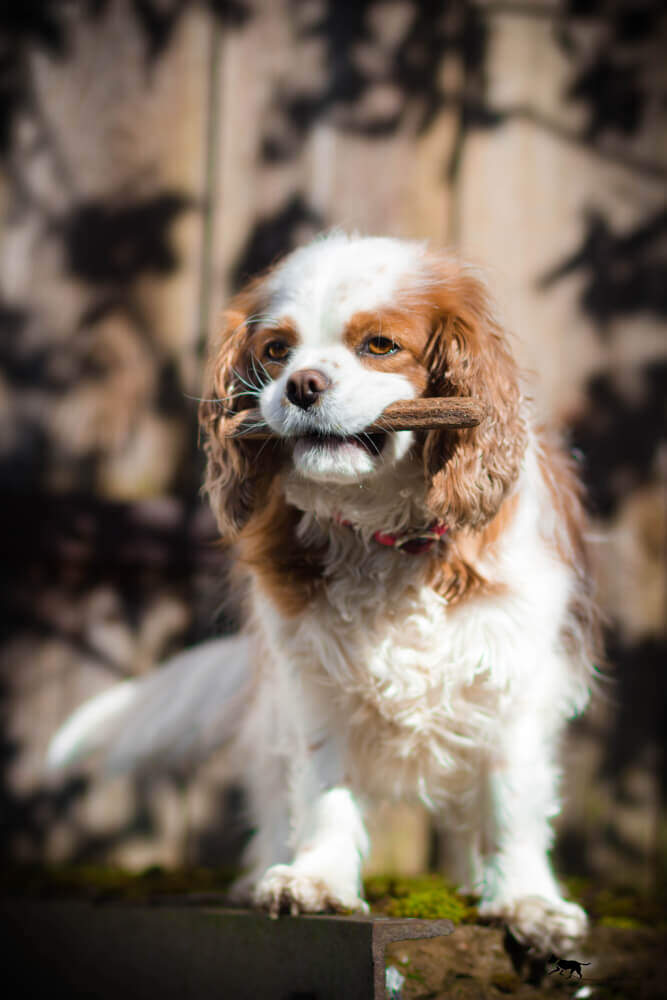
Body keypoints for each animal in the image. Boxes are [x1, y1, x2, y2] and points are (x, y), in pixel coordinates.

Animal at [49, 233, 600, 956]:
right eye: (276, 351)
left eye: (379, 346)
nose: (301, 385)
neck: (384, 537)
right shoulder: (312, 681)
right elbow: (322, 785)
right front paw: (317, 880)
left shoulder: (512, 677)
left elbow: (511, 800)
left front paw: (525, 901)